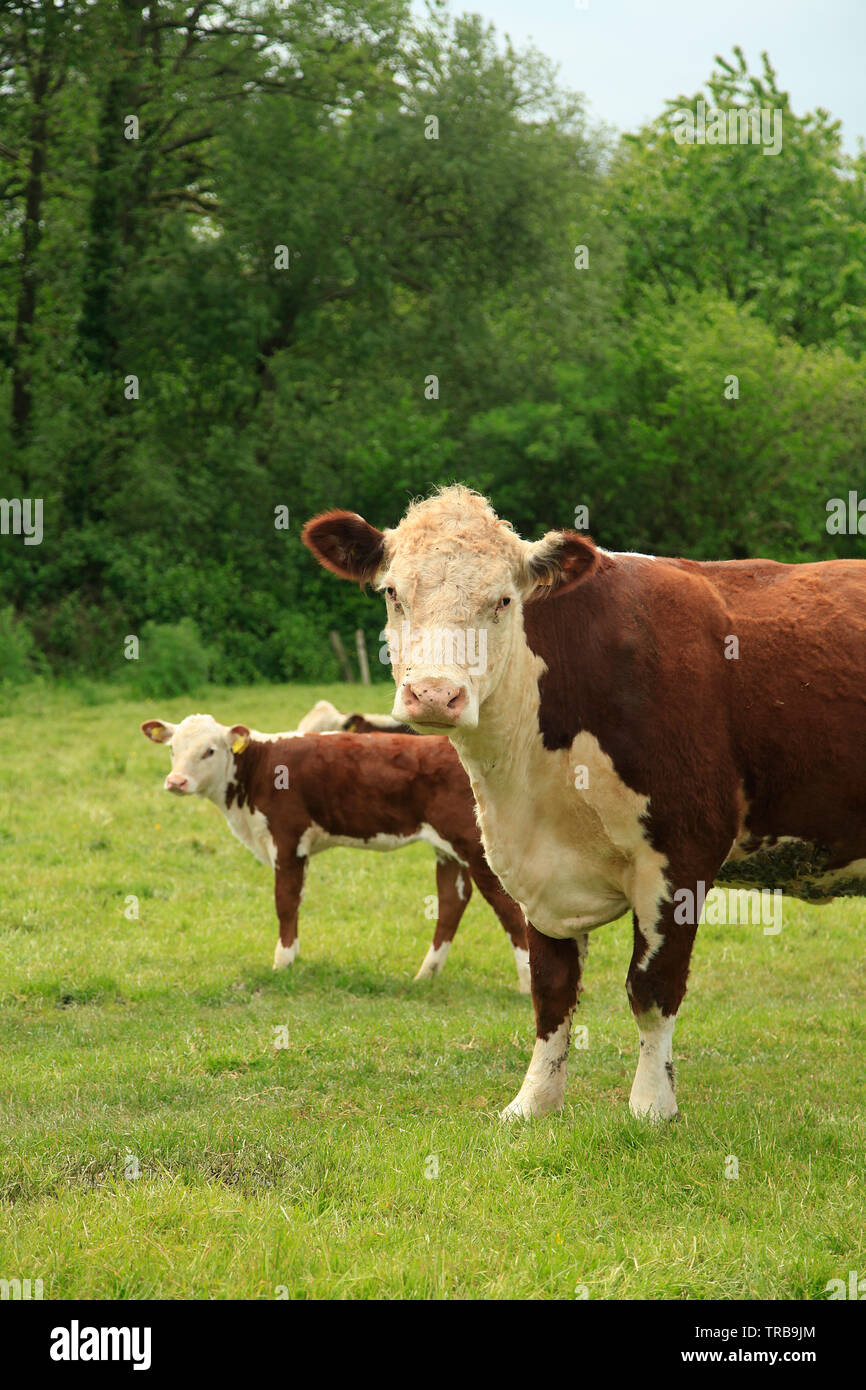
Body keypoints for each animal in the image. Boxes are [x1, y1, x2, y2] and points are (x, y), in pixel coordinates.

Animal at [141, 714, 529, 990]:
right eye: (172, 749)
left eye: (209, 750)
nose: (176, 782)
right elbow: (295, 902)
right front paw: (292, 958)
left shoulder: (287, 839)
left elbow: (284, 902)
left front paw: (282, 963)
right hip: (448, 850)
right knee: (451, 902)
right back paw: (426, 975)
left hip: (477, 848)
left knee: (509, 909)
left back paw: (526, 982)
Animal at [302, 485, 866, 1121]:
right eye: (393, 593)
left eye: (502, 601)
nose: (434, 694)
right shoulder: (535, 868)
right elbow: (550, 991)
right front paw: (533, 1102)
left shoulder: (682, 852)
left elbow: (652, 989)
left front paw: (651, 1106)